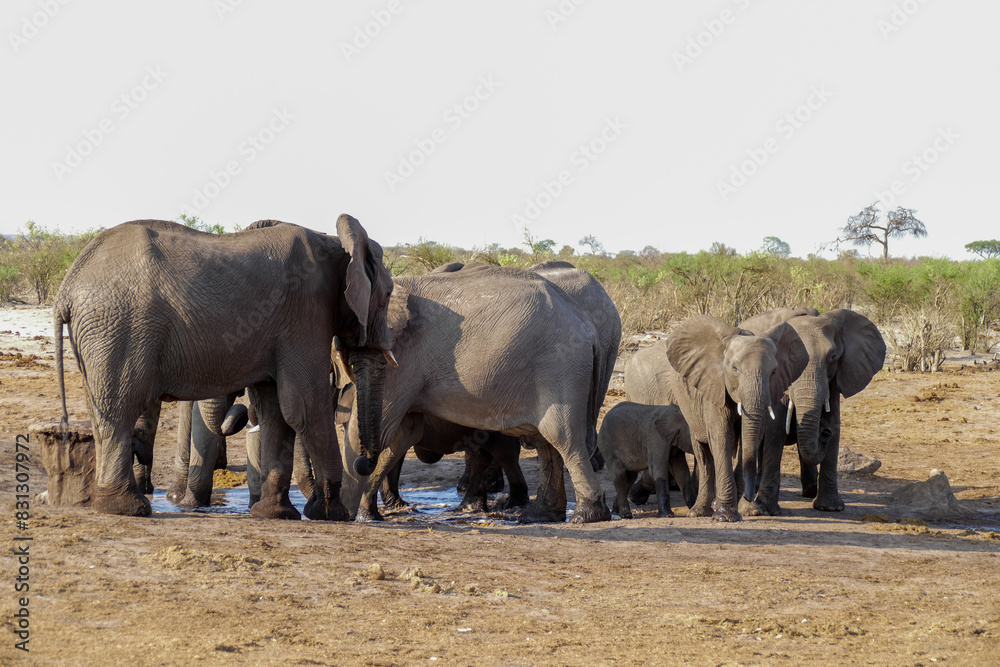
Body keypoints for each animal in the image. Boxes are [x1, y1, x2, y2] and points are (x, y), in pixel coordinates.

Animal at [54, 215, 395, 519]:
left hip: (100, 335)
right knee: (120, 410)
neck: (337, 243)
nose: (363, 462)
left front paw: (275, 514)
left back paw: (115, 505)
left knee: (103, 413)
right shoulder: (306, 312)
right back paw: (129, 509)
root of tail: (66, 288)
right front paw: (334, 514)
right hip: (120, 327)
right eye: (388, 294)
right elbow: (305, 405)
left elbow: (275, 411)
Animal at [342, 265, 612, 524]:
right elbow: (402, 432)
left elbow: (382, 428)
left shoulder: (402, 359)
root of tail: (589, 328)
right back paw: (542, 515)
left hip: (561, 367)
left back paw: (586, 516)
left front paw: (349, 515)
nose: (364, 462)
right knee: (545, 443)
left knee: (562, 437)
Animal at [654, 315, 808, 521]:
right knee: (703, 452)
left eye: (774, 372)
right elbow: (721, 438)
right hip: (688, 407)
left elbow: (750, 439)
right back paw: (699, 511)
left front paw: (742, 511)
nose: (750, 496)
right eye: (735, 369)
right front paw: (725, 516)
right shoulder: (714, 385)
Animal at [739, 308, 885, 515]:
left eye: (833, 356)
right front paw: (767, 509)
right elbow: (776, 428)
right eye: (793, 359)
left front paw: (831, 507)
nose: (824, 432)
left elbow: (835, 423)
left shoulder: (834, 379)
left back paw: (809, 490)